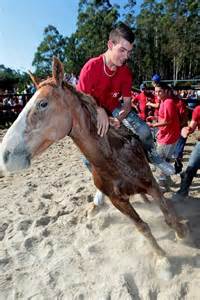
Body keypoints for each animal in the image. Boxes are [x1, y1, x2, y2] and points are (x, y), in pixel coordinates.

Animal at [0, 58, 186, 258]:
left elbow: (168, 214)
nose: (6, 155)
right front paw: (162, 258)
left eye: (42, 104)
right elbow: (142, 227)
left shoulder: (151, 184)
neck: (113, 159)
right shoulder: (118, 201)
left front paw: (182, 234)